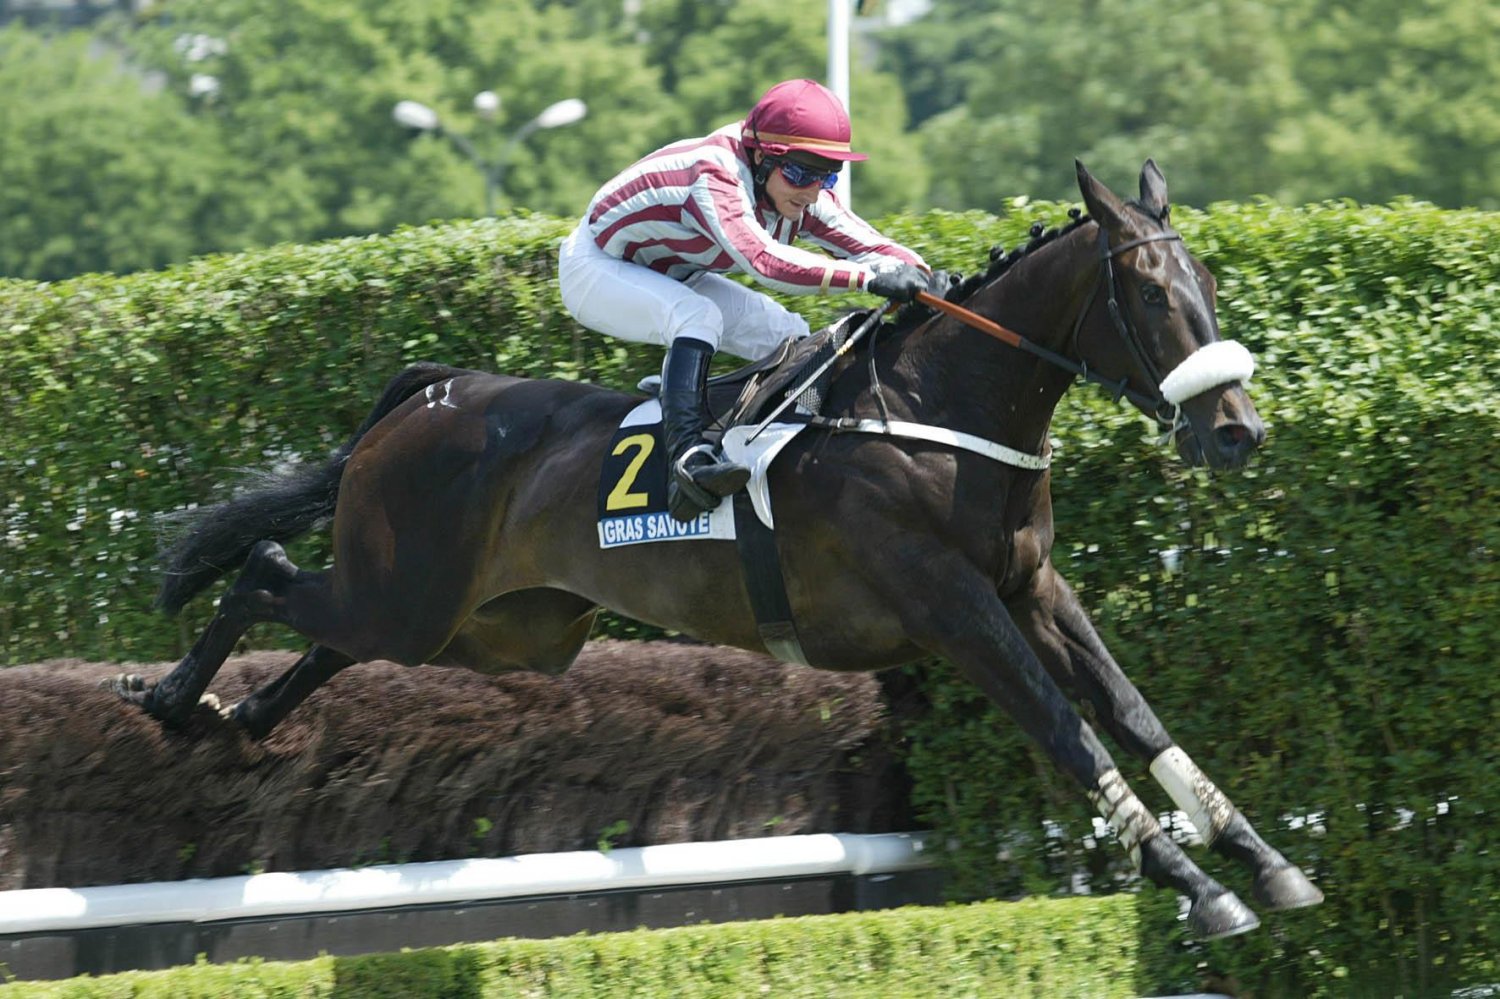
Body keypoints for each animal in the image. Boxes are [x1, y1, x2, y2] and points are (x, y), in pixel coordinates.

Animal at [112, 160, 1322, 939]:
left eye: (1210, 285)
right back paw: (169, 697)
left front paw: (1268, 865)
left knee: (329, 634)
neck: (936, 412)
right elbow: (1071, 736)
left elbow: (1135, 715)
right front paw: (1198, 889)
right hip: (414, 596)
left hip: (490, 626)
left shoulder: (1032, 588)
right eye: (1153, 293)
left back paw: (240, 716)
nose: (1237, 432)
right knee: (268, 575)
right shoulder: (953, 609)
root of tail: (433, 391)